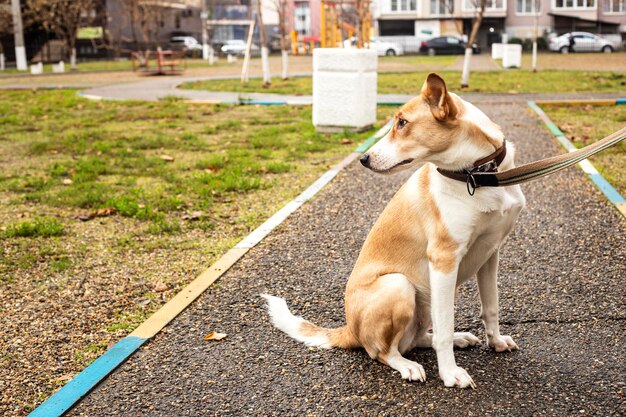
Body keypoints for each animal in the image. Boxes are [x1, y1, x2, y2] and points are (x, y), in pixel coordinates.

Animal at [260, 73, 524, 388]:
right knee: (383, 351)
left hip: (426, 298)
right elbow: (445, 328)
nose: (363, 159)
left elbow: (491, 307)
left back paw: (458, 339)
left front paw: (495, 342)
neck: (478, 175)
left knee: (418, 338)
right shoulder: (443, 259)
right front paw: (450, 374)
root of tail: (349, 329)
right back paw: (407, 365)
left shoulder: (490, 253)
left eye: (402, 123)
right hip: (400, 284)